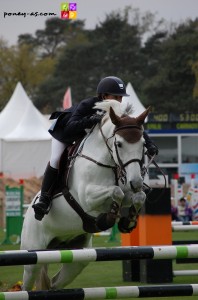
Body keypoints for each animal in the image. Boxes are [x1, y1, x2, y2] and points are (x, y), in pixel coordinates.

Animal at [20, 100, 150, 290]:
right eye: (119, 144)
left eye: (142, 144)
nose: (136, 182)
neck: (107, 161)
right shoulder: (87, 198)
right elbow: (115, 192)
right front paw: (108, 219)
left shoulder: (127, 193)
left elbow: (138, 197)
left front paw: (129, 221)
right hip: (33, 257)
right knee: (27, 284)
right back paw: (41, 206)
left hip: (76, 258)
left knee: (54, 284)